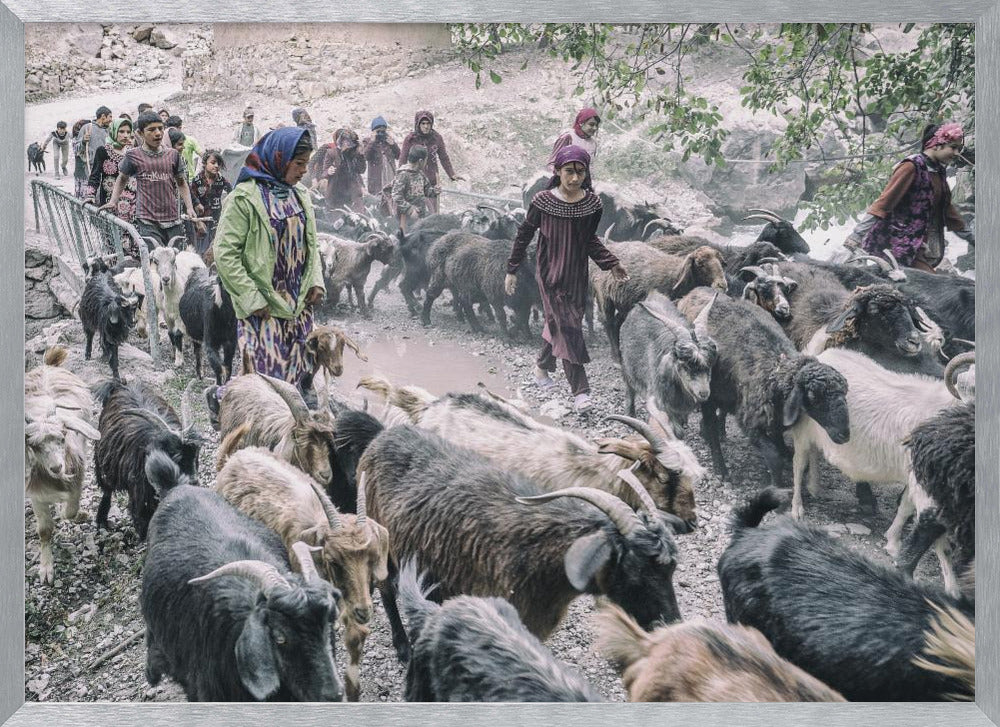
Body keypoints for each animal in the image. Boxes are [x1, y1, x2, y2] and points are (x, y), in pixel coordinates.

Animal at [24, 348, 101, 584]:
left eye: (63, 436)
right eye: (34, 446)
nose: (57, 467)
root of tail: (47, 365)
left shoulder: (77, 480)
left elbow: (70, 511)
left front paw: (78, 514)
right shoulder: (36, 495)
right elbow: (44, 530)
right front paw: (46, 569)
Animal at [94, 378, 203, 536]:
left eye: (196, 455)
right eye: (176, 457)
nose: (194, 482)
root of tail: (120, 384)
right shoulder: (141, 495)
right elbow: (142, 520)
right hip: (103, 461)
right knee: (107, 489)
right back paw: (101, 520)